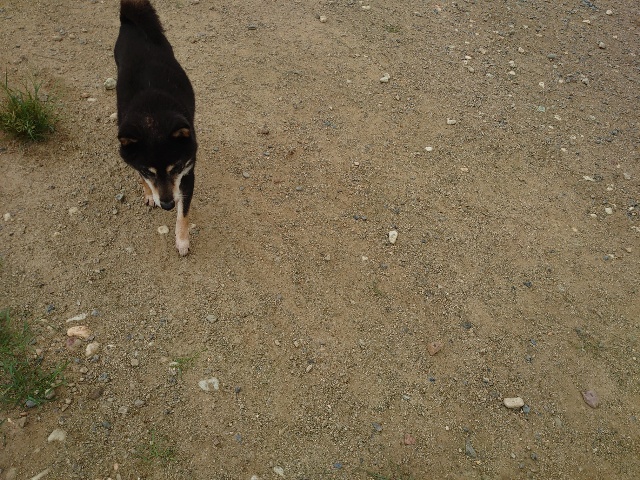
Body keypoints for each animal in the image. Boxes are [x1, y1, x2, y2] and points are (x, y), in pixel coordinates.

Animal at [114, 0, 197, 256]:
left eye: (175, 168)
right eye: (150, 171)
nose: (168, 205)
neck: (153, 118)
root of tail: (131, 19)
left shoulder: (187, 173)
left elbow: (184, 214)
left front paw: (182, 240)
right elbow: (140, 176)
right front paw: (150, 193)